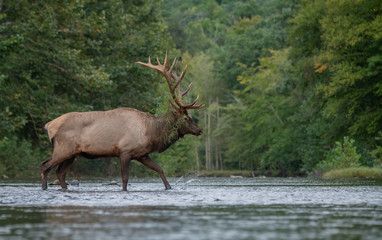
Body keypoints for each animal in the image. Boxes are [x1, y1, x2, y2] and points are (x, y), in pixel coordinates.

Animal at [40, 53, 204, 191]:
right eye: (186, 118)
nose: (199, 130)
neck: (151, 132)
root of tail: (49, 126)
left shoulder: (142, 154)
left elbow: (159, 169)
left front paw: (169, 188)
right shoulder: (125, 151)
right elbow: (125, 178)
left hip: (72, 154)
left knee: (60, 173)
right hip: (63, 148)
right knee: (45, 166)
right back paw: (44, 188)